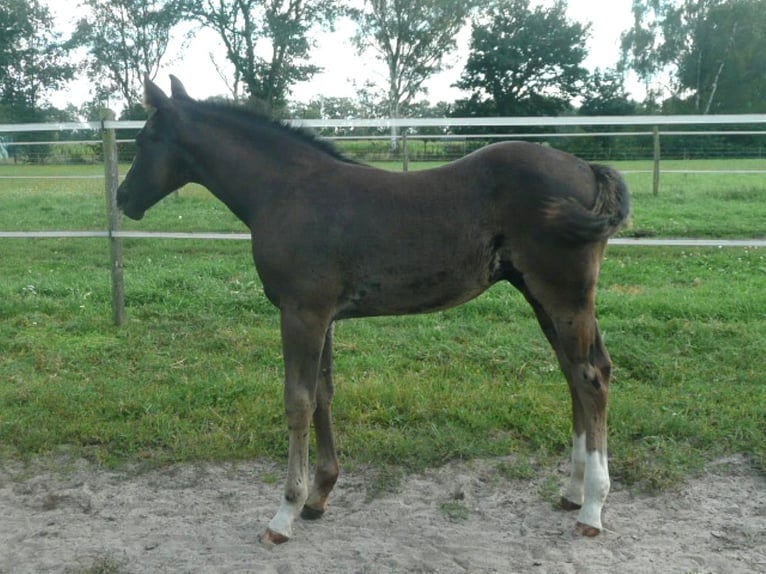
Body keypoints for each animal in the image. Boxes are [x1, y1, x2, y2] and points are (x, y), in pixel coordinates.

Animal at [115, 76, 632, 544]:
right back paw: (571, 491)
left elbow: (298, 402)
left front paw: (284, 513)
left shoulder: (301, 313)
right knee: (576, 373)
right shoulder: (323, 317)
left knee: (591, 376)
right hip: (541, 295)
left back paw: (592, 508)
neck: (287, 191)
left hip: (563, 295)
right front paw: (319, 496)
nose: (122, 198)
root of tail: (587, 168)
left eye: (143, 140)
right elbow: (323, 394)